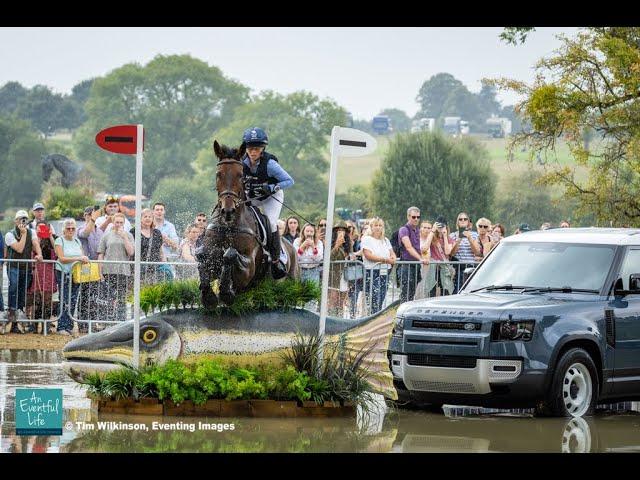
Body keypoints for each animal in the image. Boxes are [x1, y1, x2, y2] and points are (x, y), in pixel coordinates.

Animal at [198, 141, 298, 310]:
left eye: (240, 175)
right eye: (218, 174)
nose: (228, 211)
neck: (229, 226)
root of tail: (292, 248)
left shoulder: (248, 269)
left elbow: (230, 255)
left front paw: (225, 293)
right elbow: (202, 256)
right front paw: (209, 297)